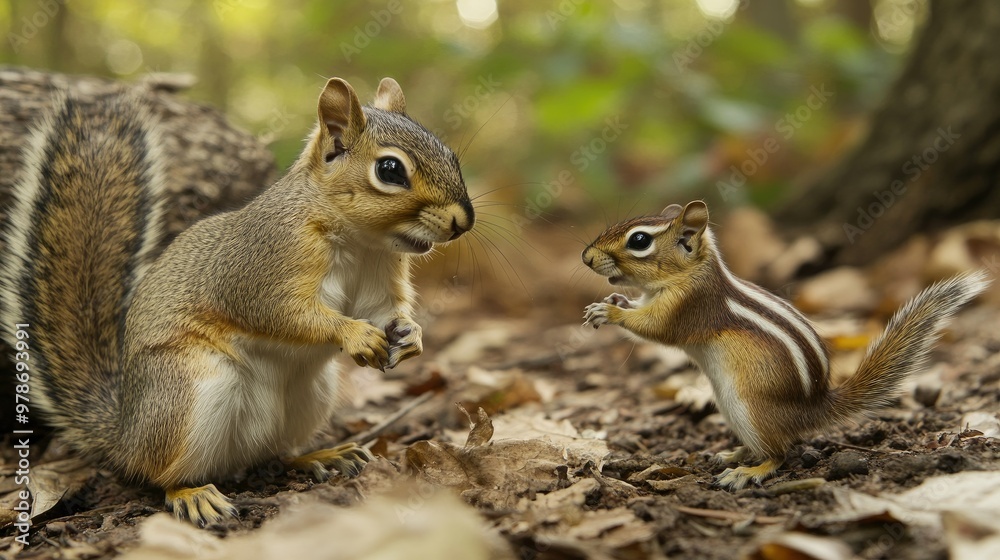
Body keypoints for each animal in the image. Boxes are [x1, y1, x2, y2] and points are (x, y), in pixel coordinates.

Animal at [0, 77, 474, 526]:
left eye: (450, 154)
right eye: (390, 169)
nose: (463, 221)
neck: (361, 240)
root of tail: (124, 433)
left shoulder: (381, 273)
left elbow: (384, 311)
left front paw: (411, 335)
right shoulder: (259, 267)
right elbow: (280, 312)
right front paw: (354, 333)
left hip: (309, 395)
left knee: (275, 453)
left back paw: (320, 456)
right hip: (188, 389)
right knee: (159, 474)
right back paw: (191, 494)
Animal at [581, 200, 989, 489]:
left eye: (639, 240)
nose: (586, 257)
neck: (693, 272)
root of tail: (812, 409)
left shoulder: (688, 306)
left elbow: (656, 329)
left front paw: (610, 312)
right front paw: (616, 300)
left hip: (748, 407)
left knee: (780, 453)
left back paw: (748, 471)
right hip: (731, 408)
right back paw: (733, 453)